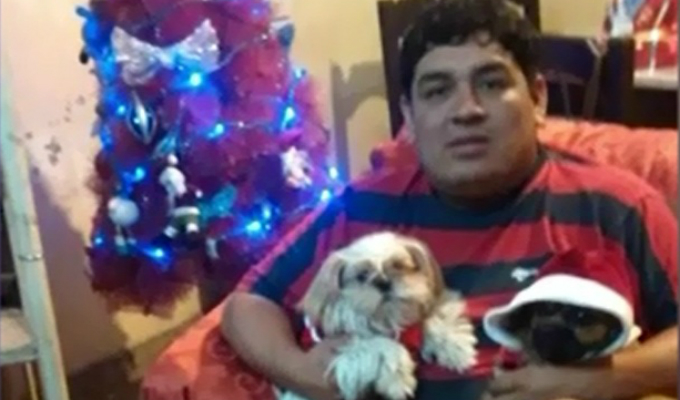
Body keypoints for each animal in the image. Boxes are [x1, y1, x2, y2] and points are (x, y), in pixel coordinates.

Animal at [278, 232, 478, 400]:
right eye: (361, 276)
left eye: (398, 265)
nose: (383, 282)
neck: (385, 318)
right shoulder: (342, 356)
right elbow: (377, 343)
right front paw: (398, 379)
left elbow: (433, 320)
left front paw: (455, 348)